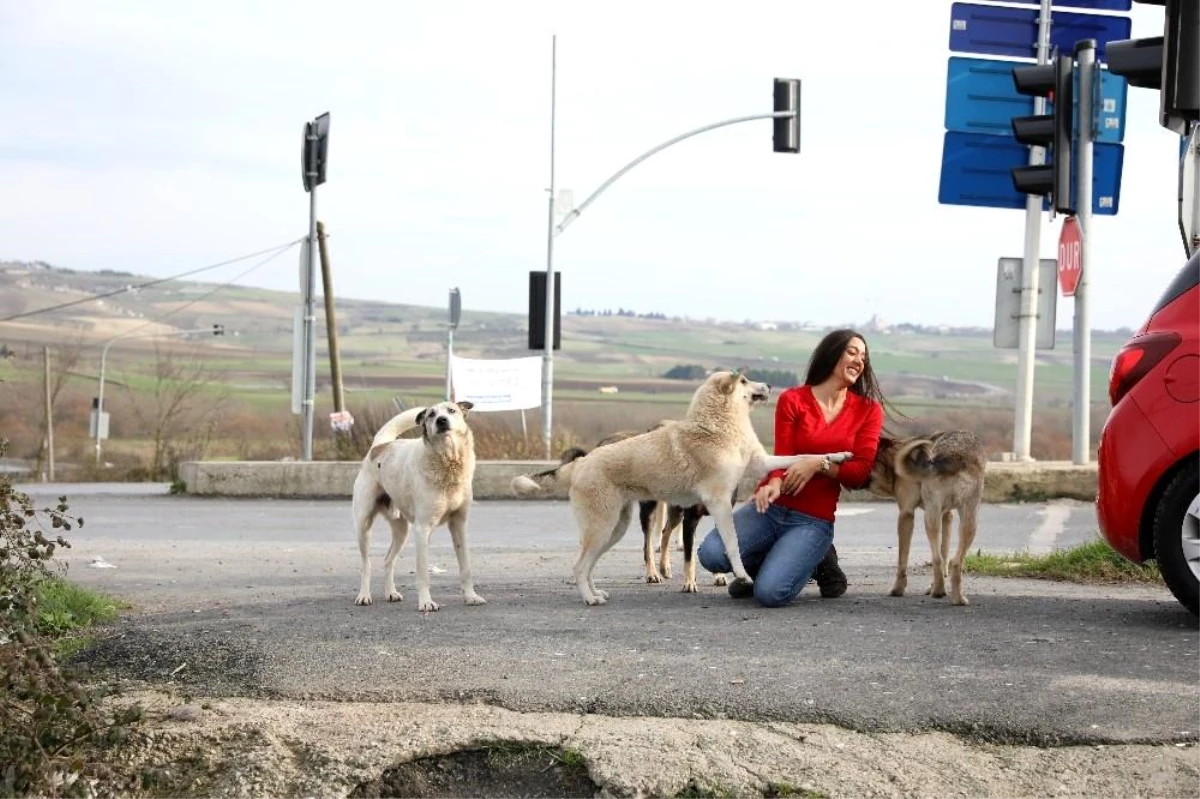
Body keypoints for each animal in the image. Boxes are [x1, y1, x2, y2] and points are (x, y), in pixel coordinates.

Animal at [350, 398, 487, 609]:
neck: (448, 462)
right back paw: (364, 596)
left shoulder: (459, 526)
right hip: (363, 526)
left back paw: (390, 593)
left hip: (402, 531)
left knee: (388, 560)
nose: (441, 420)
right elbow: (423, 573)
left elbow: (465, 567)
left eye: (451, 410)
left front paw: (471, 596)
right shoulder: (422, 529)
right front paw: (426, 603)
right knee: (367, 564)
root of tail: (380, 446)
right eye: (431, 414)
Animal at [511, 371, 859, 604]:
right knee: (579, 565)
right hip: (604, 527)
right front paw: (742, 575)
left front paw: (838, 456)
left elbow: (802, 456)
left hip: (614, 529)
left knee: (588, 565)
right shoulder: (718, 503)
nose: (770, 386)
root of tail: (579, 464)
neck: (717, 426)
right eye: (744, 381)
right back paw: (590, 598)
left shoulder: (759, 465)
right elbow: (732, 544)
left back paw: (596, 592)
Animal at [868, 429, 988, 604]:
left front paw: (897, 589)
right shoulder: (947, 515)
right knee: (953, 561)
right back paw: (956, 597)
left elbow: (902, 560)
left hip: (931, 515)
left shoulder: (906, 514)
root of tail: (954, 457)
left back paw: (938, 591)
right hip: (967, 517)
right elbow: (944, 551)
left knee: (936, 559)